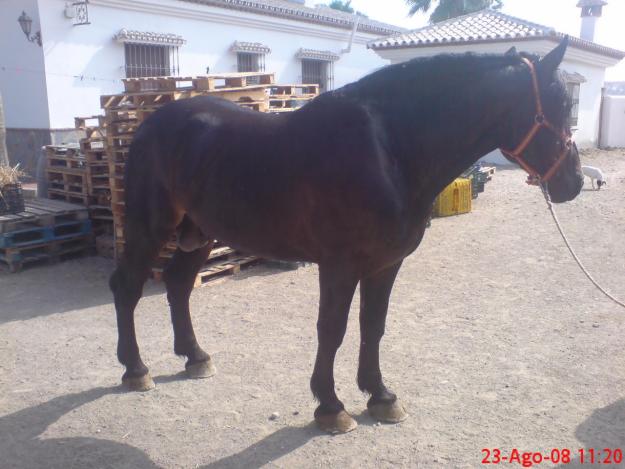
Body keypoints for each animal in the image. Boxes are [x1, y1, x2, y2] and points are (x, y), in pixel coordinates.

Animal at [109, 38, 584, 434]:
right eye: (559, 103)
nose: (574, 182)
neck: (388, 150)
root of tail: (152, 123)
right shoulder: (339, 266)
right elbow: (332, 329)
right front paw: (330, 406)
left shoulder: (385, 264)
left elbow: (373, 325)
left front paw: (381, 396)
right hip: (151, 227)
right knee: (127, 286)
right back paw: (136, 369)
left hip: (199, 233)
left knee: (178, 284)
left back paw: (195, 357)